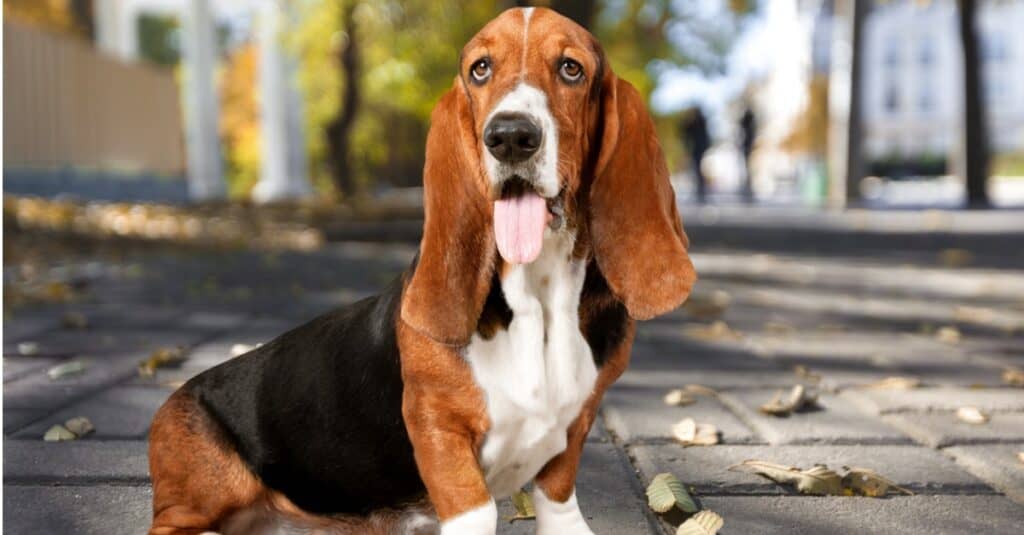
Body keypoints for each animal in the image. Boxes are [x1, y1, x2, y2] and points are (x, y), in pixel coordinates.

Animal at [148, 7, 696, 532]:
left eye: (571, 68)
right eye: (480, 69)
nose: (510, 136)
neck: (538, 296)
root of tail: (174, 397)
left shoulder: (576, 424)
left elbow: (558, 497)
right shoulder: (437, 426)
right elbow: (475, 510)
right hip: (203, 491)